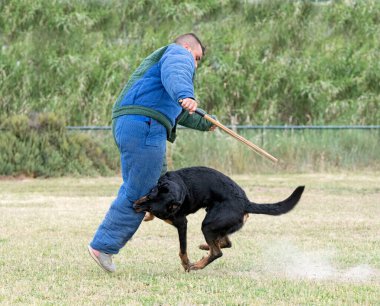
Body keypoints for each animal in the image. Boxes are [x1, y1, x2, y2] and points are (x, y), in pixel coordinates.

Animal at [134, 166, 302, 272]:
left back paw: (198, 265)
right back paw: (205, 247)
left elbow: (182, 250)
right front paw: (147, 217)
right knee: (225, 243)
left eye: (151, 203)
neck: (178, 189)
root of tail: (245, 203)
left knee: (217, 252)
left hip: (208, 225)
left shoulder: (182, 224)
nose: (133, 205)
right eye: (149, 195)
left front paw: (187, 265)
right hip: (218, 224)